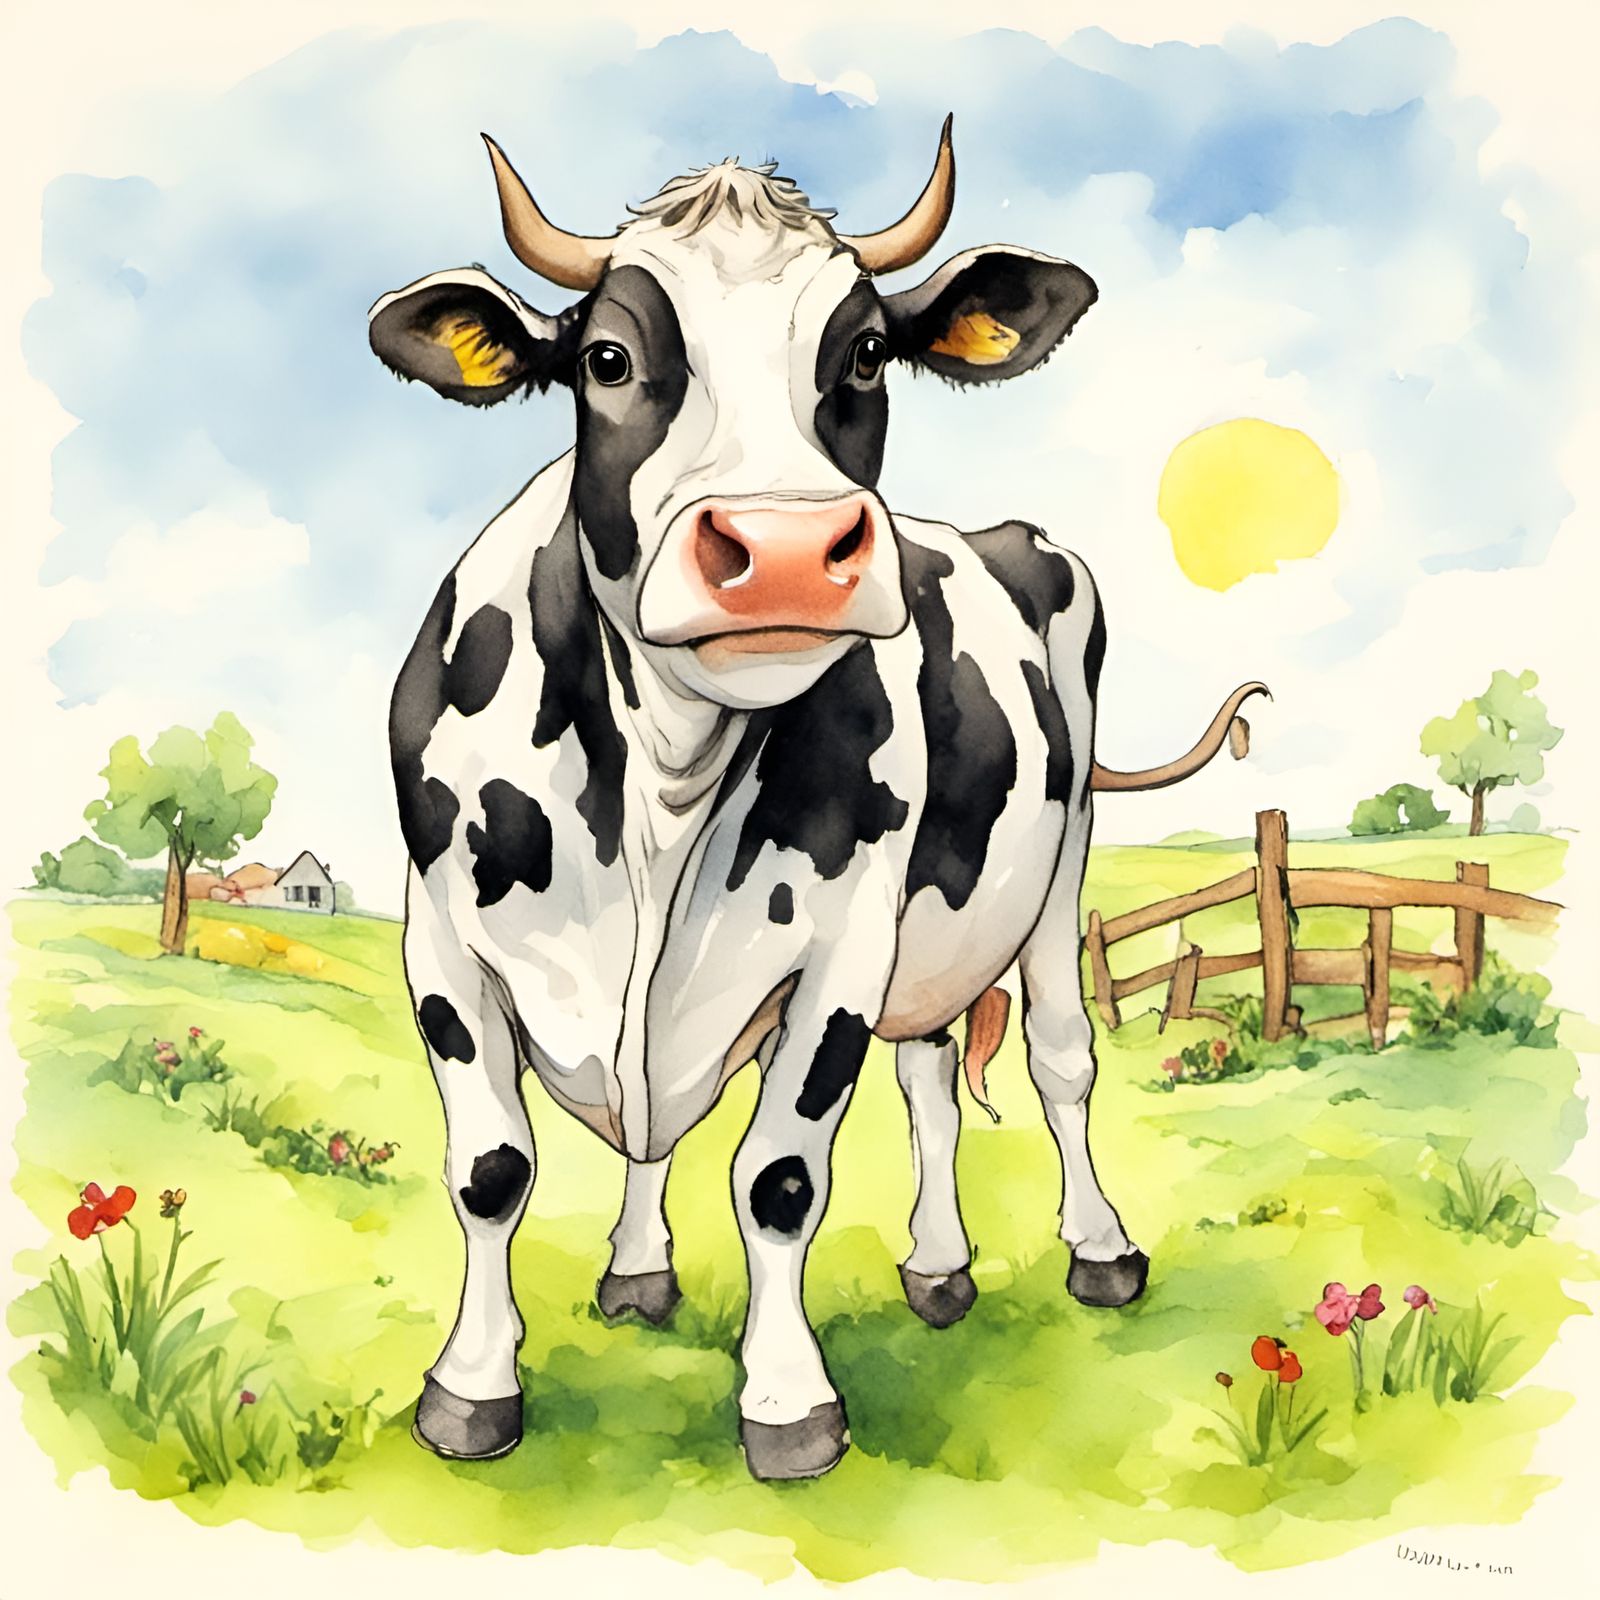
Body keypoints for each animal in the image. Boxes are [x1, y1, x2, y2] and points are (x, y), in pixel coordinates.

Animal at [368, 119, 1266, 1481]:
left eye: (864, 353)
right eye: (607, 359)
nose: (786, 552)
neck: (664, 783)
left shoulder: (840, 947)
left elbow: (778, 1178)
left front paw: (788, 1405)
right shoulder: (443, 939)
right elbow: (492, 1167)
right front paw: (472, 1390)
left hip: (1055, 875)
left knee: (1057, 1061)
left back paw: (1099, 1249)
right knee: (930, 1080)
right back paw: (917, 1268)